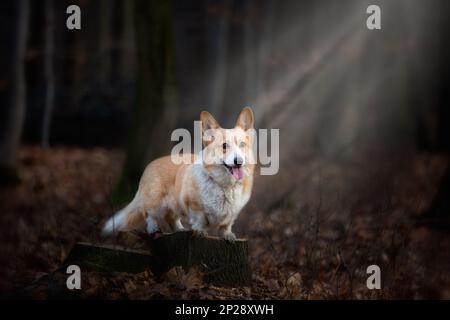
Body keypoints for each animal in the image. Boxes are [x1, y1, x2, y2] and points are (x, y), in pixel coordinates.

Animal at [103, 107, 255, 240]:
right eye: (224, 146)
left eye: (242, 144)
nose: (239, 161)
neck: (225, 186)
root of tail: (150, 164)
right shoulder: (194, 206)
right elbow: (200, 219)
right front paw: (200, 231)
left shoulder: (233, 214)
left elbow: (226, 225)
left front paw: (228, 235)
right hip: (156, 203)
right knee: (150, 215)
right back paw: (154, 228)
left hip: (174, 205)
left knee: (171, 218)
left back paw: (180, 229)